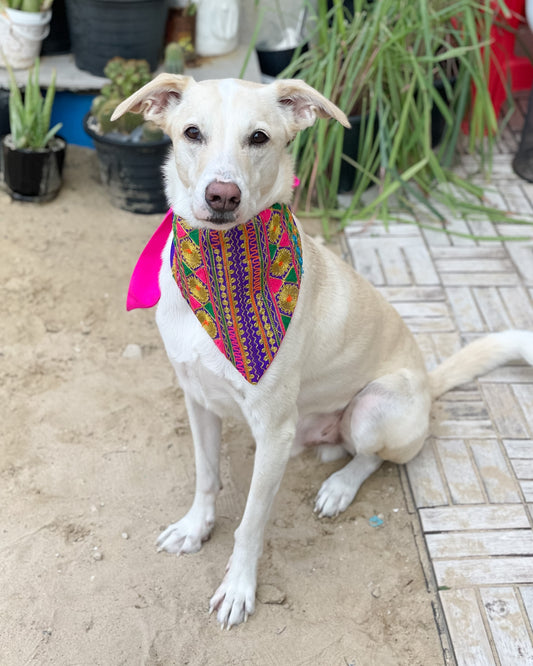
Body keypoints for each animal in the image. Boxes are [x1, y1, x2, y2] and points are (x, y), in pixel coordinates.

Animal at [112, 75, 532, 624]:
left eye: (259, 138)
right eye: (192, 133)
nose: (222, 195)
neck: (220, 261)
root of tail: (427, 381)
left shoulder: (273, 431)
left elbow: (251, 523)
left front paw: (239, 587)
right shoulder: (198, 400)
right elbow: (206, 477)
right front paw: (195, 527)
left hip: (374, 406)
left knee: (374, 457)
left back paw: (340, 486)